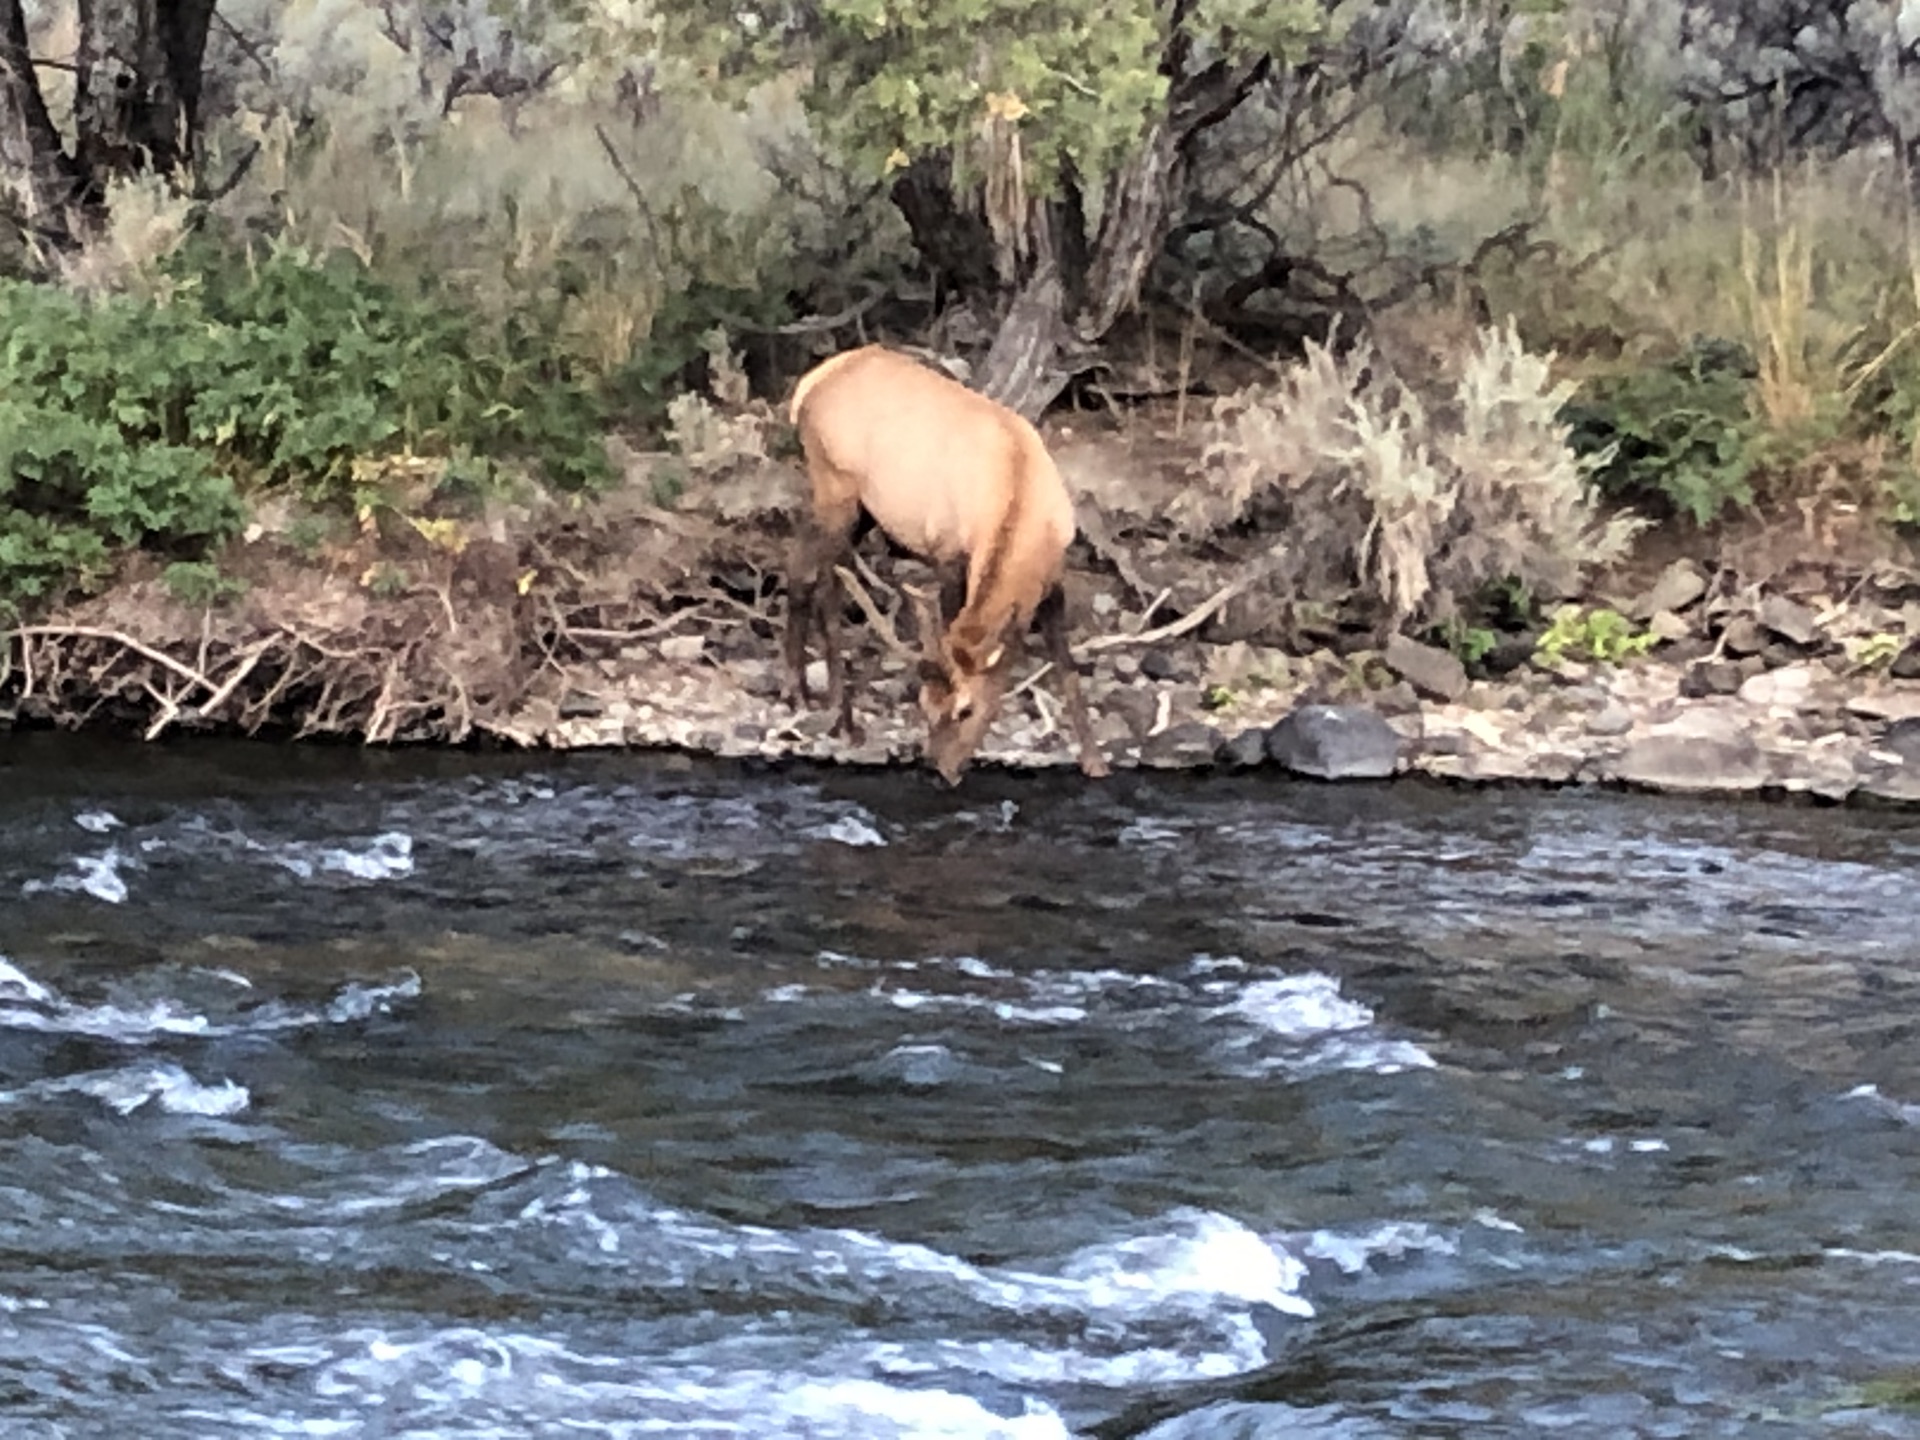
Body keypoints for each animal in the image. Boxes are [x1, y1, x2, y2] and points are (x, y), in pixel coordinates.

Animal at [779, 341, 1113, 783]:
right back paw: (841, 716)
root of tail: (811, 384)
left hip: (860, 508)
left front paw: (1095, 761)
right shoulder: (948, 552)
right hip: (835, 486)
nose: (940, 769)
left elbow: (1067, 666)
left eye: (966, 710)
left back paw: (800, 692)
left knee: (804, 570)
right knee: (823, 586)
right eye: (924, 706)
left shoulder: (1054, 577)